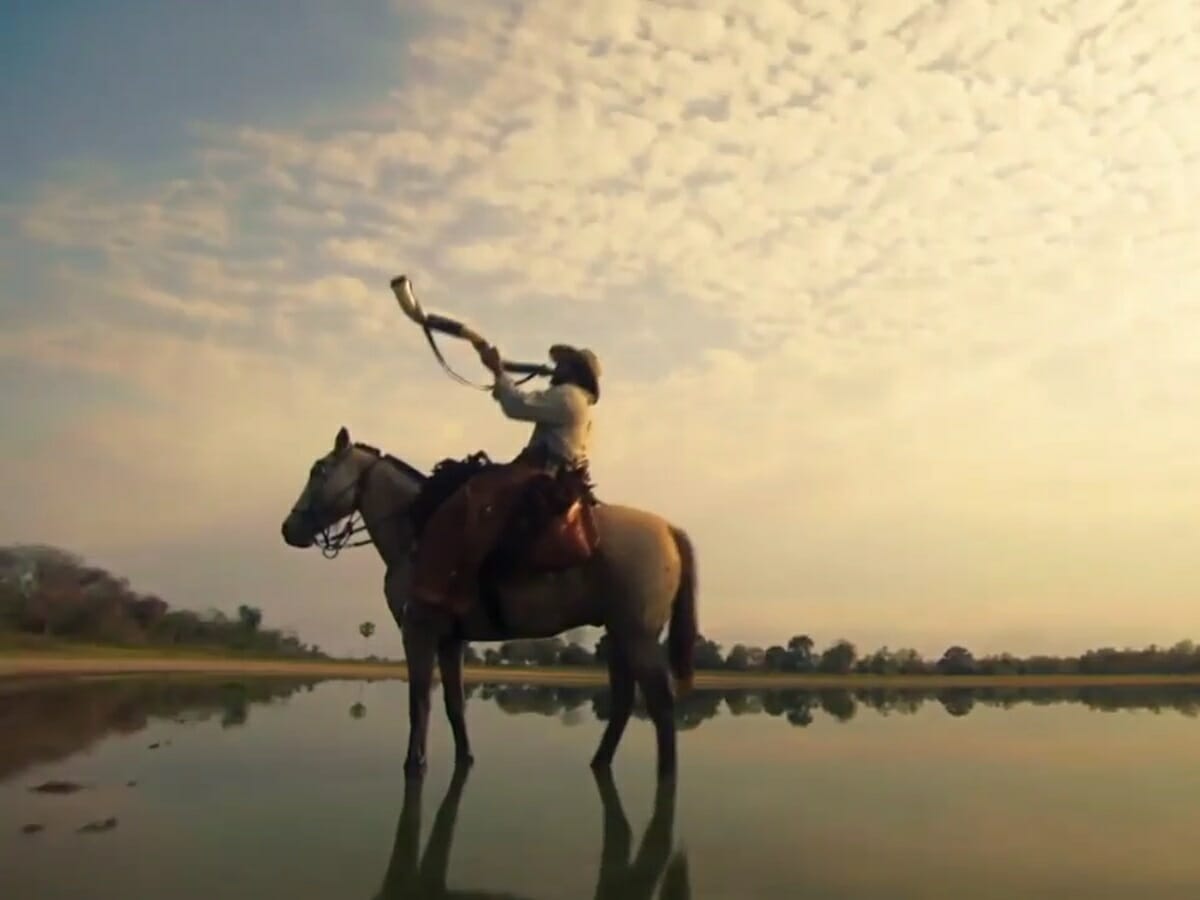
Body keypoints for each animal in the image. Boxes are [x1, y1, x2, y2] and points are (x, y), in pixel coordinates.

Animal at [279, 427, 700, 777]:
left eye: (319, 470)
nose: (288, 529)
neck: (417, 533)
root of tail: (667, 529)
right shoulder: (451, 640)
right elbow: (453, 703)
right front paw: (464, 759)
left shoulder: (418, 632)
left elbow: (420, 702)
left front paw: (415, 764)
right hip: (618, 634)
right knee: (624, 700)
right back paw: (600, 762)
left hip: (638, 636)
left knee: (661, 707)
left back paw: (665, 775)